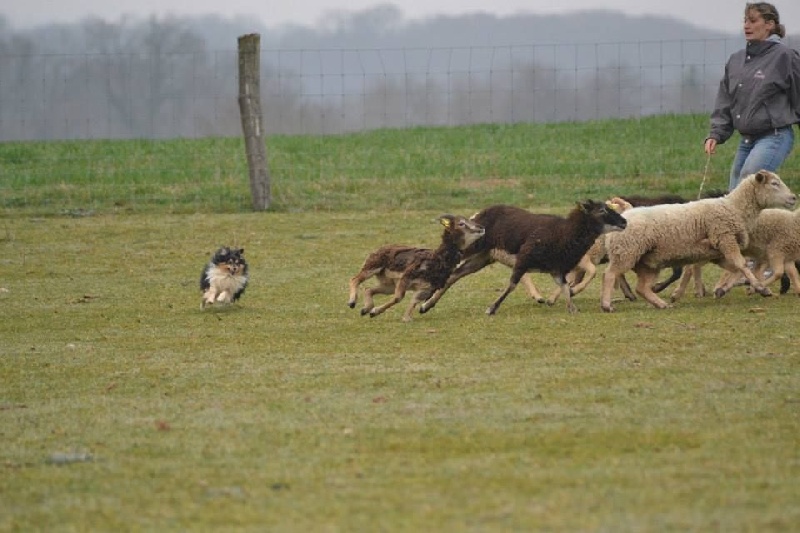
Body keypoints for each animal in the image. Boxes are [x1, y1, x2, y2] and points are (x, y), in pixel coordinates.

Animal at [346, 212, 484, 320]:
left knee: (368, 289)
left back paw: (364, 309)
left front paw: (406, 318)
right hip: (372, 266)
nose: (481, 228)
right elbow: (398, 298)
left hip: (388, 285)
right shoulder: (406, 278)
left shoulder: (425, 289)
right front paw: (374, 312)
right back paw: (352, 303)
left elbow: (414, 301)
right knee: (355, 279)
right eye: (461, 223)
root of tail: (381, 248)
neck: (436, 260)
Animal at [418, 202, 624, 314]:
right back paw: (426, 298)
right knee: (448, 269)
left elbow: (565, 287)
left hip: (483, 258)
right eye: (601, 211)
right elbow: (511, 285)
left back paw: (426, 306)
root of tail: (476, 215)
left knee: (455, 275)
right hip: (470, 249)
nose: (624, 222)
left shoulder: (556, 269)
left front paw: (572, 308)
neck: (564, 232)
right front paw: (492, 309)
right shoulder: (524, 259)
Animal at [600, 170, 792, 312]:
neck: (734, 208)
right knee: (609, 275)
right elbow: (742, 265)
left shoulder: (719, 252)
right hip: (627, 252)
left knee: (642, 287)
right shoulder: (725, 238)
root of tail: (622, 217)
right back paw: (607, 305)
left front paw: (729, 289)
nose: (793, 198)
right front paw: (759, 287)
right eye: (774, 184)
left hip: (648, 262)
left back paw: (661, 304)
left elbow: (737, 269)